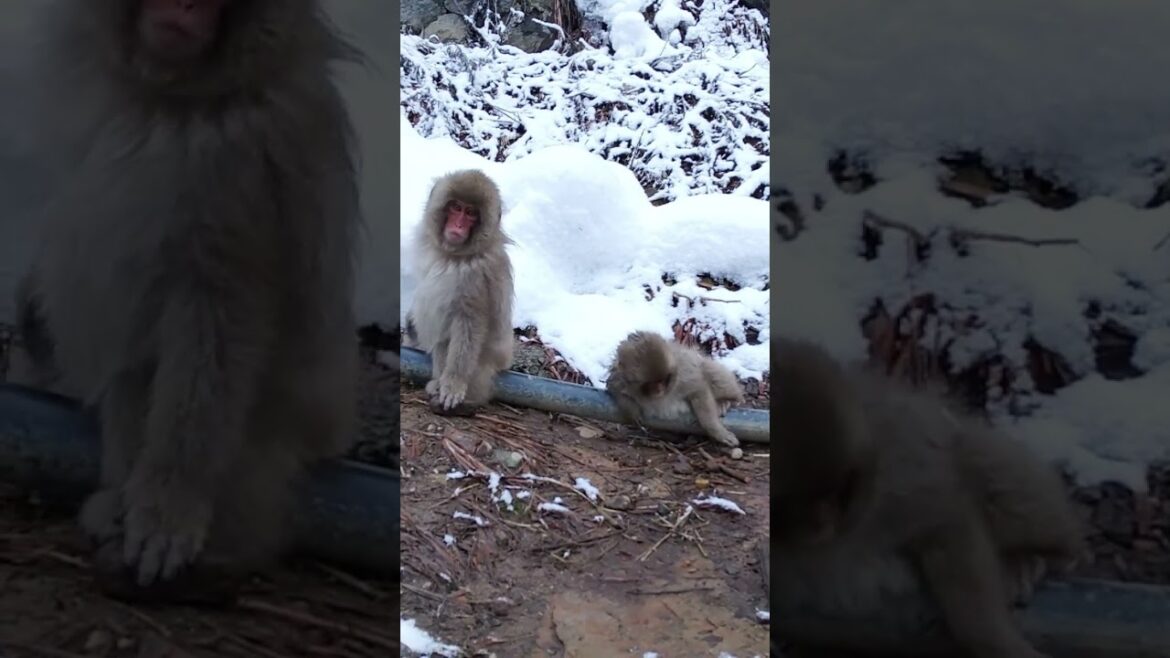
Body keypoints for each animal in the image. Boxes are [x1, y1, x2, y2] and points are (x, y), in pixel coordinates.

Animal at [17, 0, 363, 597]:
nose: (184, 5)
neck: (170, 97)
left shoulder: (244, 156)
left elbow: (221, 313)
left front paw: (171, 499)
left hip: (292, 417)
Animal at [405, 169, 515, 416]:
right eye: (456, 207)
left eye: (471, 213)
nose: (458, 225)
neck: (454, 255)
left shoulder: (477, 275)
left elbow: (470, 321)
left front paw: (454, 381)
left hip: (485, 365)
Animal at [604, 331, 745, 447]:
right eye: (651, 383)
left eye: (663, 379)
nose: (659, 389)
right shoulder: (618, 378)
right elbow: (613, 389)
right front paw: (632, 411)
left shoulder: (683, 375)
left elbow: (698, 389)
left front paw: (717, 431)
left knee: (709, 370)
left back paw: (727, 401)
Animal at [770, 339, 1085, 658]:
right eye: (792, 501)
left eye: (839, 490)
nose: (824, 523)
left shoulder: (895, 474)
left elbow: (946, 517)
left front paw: (996, 640)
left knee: (982, 463)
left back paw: (1040, 557)